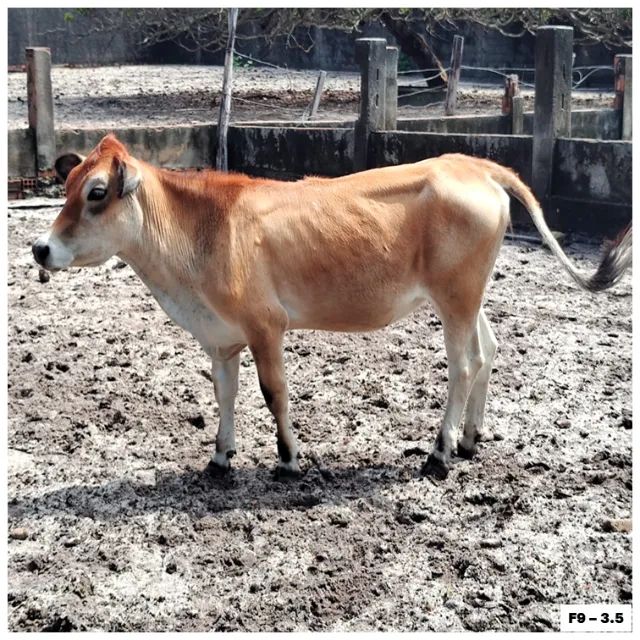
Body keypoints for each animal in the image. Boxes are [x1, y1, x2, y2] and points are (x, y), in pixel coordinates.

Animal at [32, 134, 632, 480]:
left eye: (97, 192)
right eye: (67, 184)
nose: (41, 248)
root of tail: (474, 164)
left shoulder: (266, 326)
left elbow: (274, 393)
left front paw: (289, 461)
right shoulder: (221, 337)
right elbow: (225, 395)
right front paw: (220, 458)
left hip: (456, 297)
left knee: (461, 366)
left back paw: (439, 454)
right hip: (468, 294)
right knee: (488, 352)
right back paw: (469, 441)